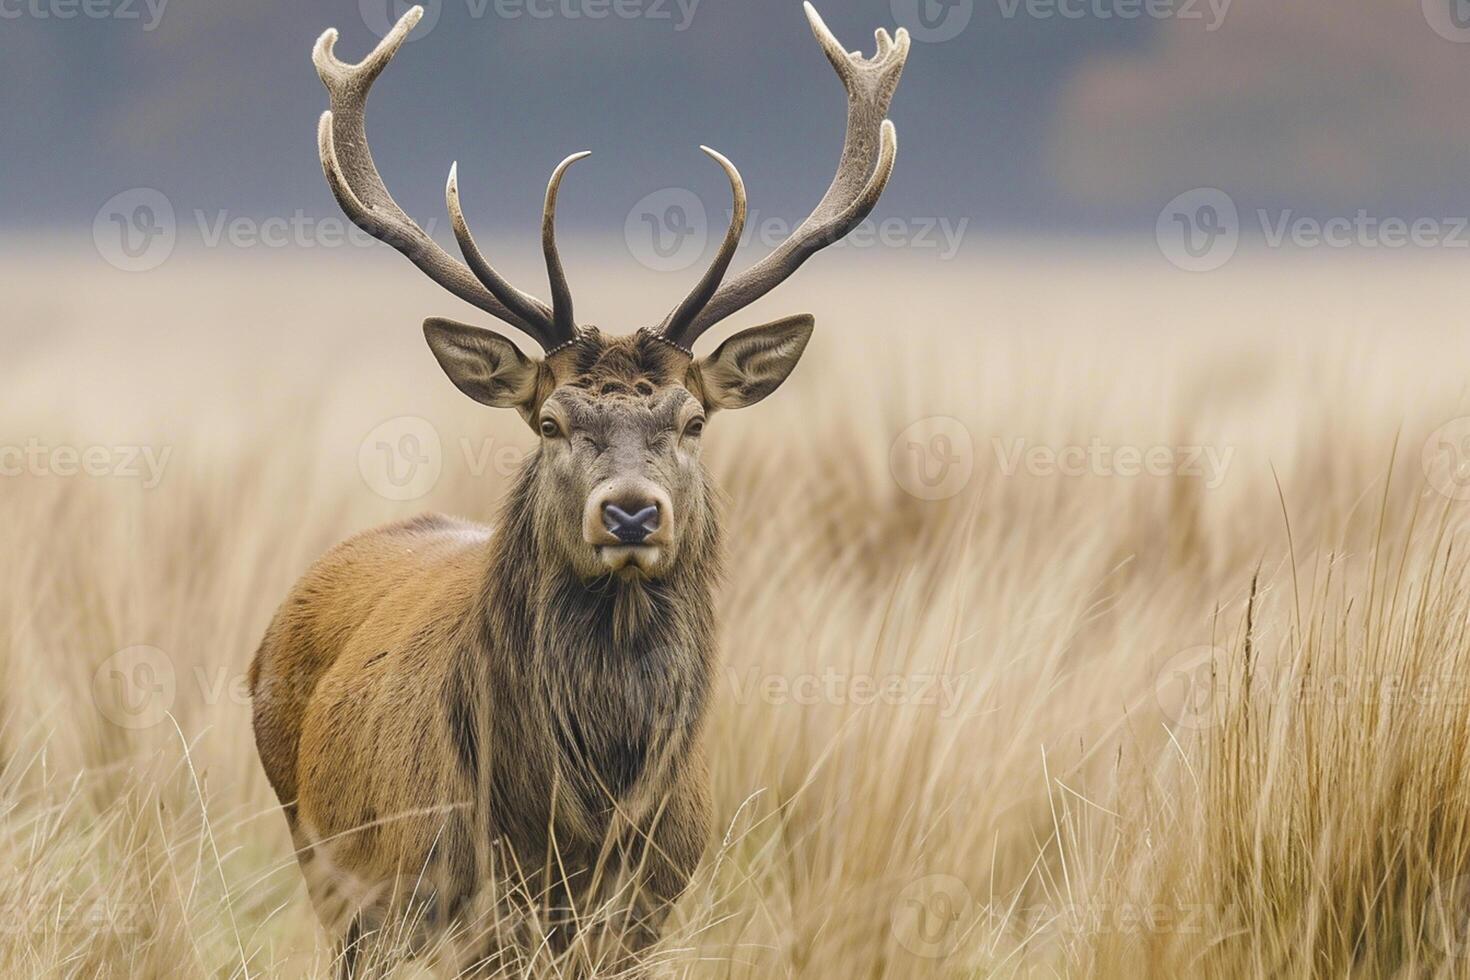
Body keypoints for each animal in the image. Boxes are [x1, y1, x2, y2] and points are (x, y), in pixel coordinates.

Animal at [252, 5, 905, 975]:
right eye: (551, 422)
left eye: (692, 420)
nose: (631, 510)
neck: (574, 830)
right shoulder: (450, 905)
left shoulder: (644, 908)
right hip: (331, 873)